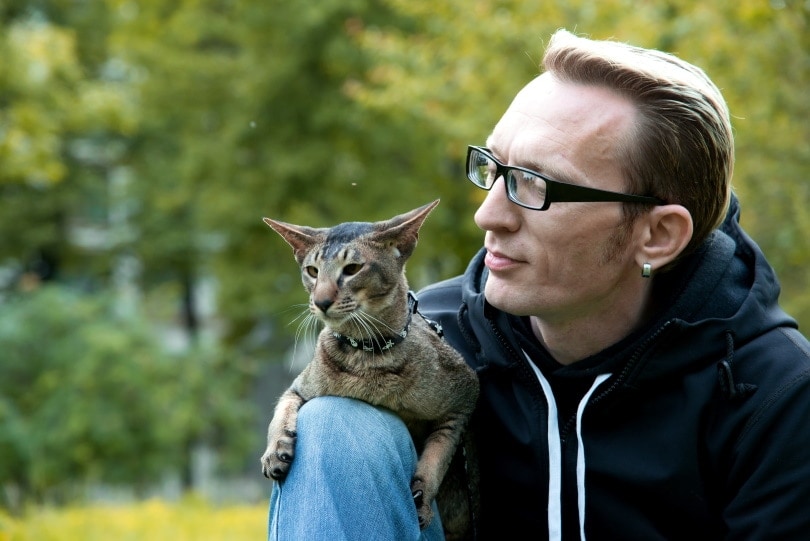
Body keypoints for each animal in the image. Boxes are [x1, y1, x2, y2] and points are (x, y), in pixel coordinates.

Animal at [260, 200, 480, 536]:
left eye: (352, 269)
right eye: (312, 271)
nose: (320, 301)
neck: (366, 354)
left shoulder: (465, 395)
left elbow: (438, 454)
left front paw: (422, 497)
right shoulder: (300, 386)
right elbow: (280, 410)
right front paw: (275, 450)